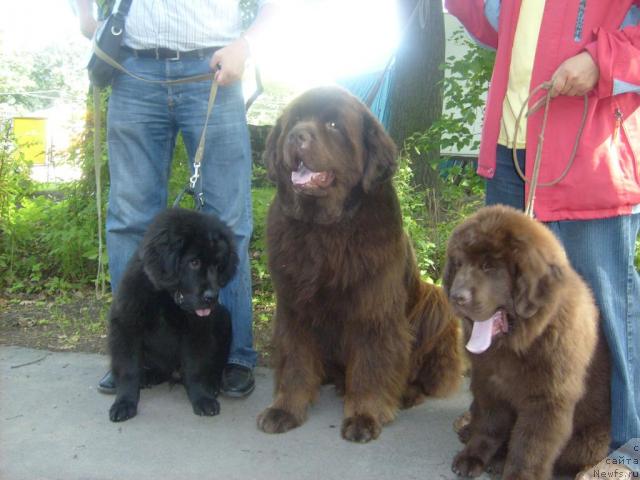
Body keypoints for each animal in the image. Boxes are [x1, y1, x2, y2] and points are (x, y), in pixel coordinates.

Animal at [107, 208, 238, 422]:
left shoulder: (196, 330)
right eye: (194, 262)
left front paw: (202, 398)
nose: (212, 297)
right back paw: (148, 377)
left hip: (224, 319)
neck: (165, 297)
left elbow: (195, 369)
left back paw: (211, 383)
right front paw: (124, 402)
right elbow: (128, 369)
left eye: (218, 266)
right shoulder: (127, 324)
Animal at [258, 85, 462, 442]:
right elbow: (296, 360)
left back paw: (405, 393)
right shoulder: (293, 306)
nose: (296, 136)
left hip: (436, 300)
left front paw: (365, 415)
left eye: (333, 125)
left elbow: (371, 364)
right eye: (294, 121)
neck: (325, 229)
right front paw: (285, 409)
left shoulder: (373, 309)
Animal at [442, 206, 608, 480]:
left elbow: (529, 446)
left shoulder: (547, 399)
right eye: (459, 264)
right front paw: (473, 456)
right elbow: (488, 424)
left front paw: (517, 473)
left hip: (591, 440)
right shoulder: (487, 382)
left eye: (488, 267)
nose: (456, 297)